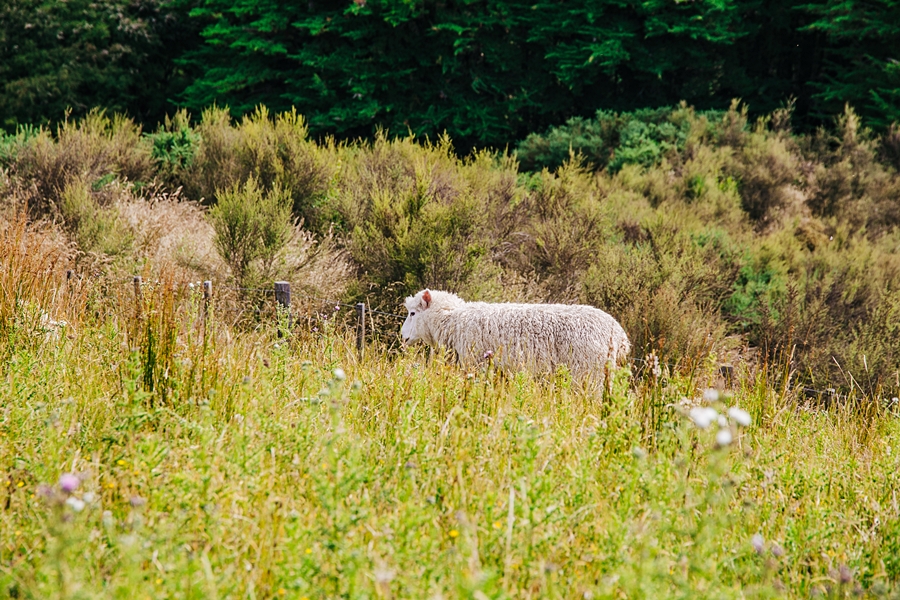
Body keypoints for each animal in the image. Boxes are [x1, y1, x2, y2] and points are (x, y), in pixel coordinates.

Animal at [400, 290, 632, 384]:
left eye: (412, 313)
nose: (402, 337)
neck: (454, 320)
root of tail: (619, 335)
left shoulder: (478, 364)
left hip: (588, 373)